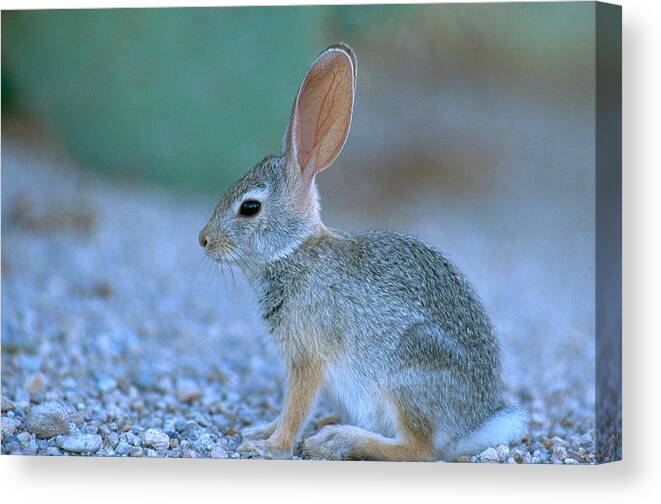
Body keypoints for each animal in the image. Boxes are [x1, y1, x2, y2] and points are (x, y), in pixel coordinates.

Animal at [199, 43, 528, 460]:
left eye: (250, 208)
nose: (203, 239)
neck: (293, 252)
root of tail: (473, 426)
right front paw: (260, 431)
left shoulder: (308, 358)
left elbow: (295, 407)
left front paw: (270, 447)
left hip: (406, 375)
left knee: (417, 449)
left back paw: (340, 439)